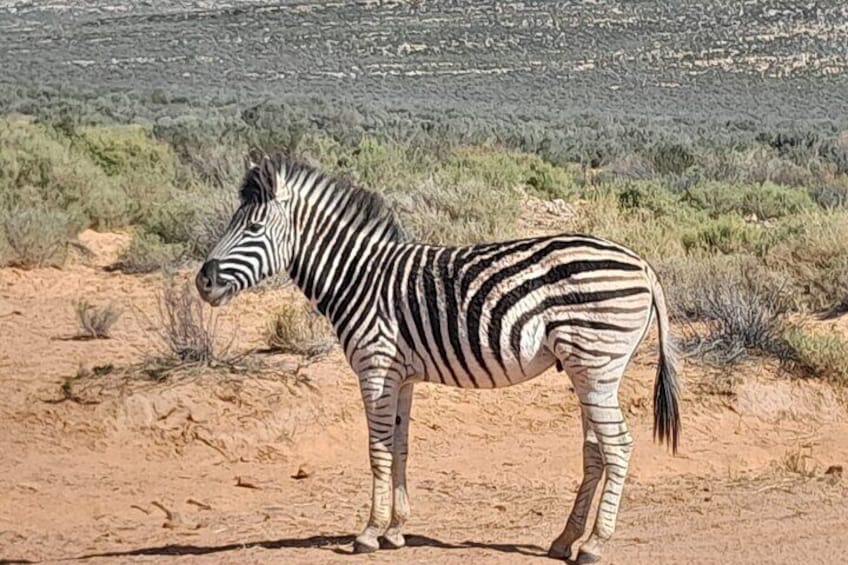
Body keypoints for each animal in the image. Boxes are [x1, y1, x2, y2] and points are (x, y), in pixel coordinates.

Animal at [195, 152, 680, 560]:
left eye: (253, 229)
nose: (203, 281)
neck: (359, 277)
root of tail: (641, 262)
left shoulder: (375, 366)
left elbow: (377, 449)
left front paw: (368, 533)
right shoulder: (401, 375)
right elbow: (401, 446)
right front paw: (395, 530)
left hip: (596, 365)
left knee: (618, 446)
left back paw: (595, 544)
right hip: (587, 371)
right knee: (596, 450)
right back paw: (565, 540)